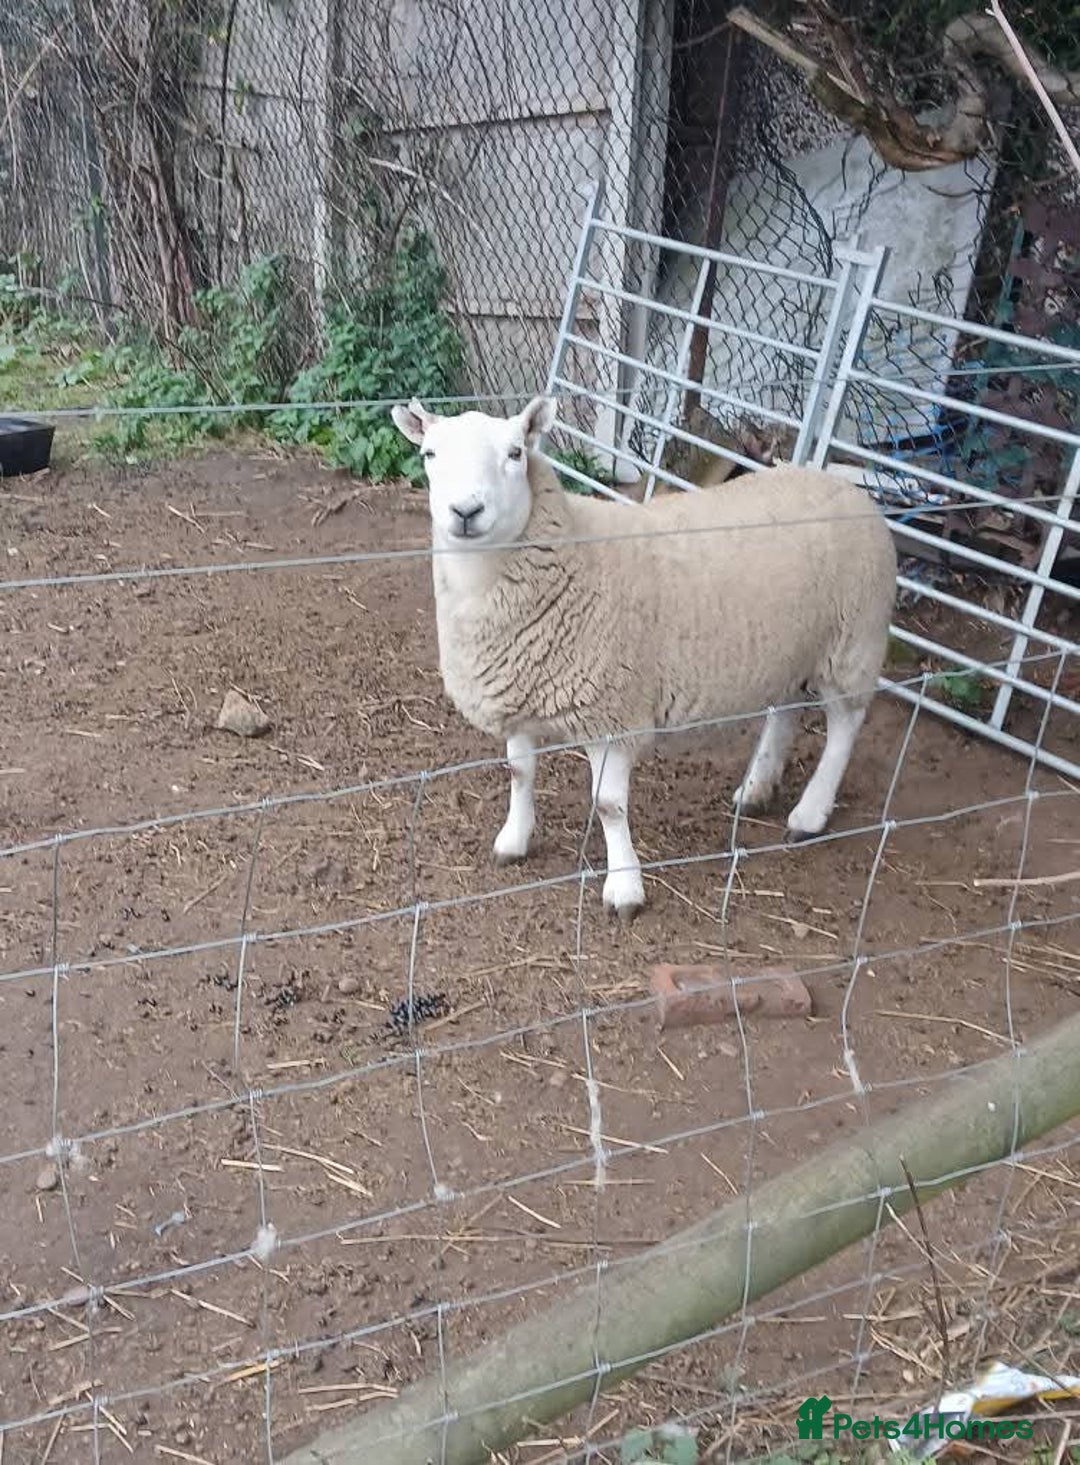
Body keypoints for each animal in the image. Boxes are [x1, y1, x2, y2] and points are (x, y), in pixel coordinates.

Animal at [390, 393, 898, 921]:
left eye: (515, 453)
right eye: (429, 453)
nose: (466, 510)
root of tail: (844, 485)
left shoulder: (611, 713)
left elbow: (609, 806)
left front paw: (624, 888)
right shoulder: (518, 691)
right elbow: (519, 773)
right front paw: (514, 840)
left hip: (851, 642)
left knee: (844, 727)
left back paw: (810, 812)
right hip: (795, 646)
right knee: (786, 711)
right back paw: (757, 788)